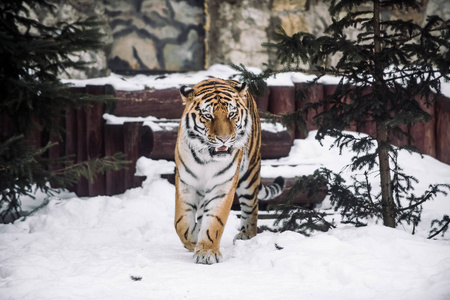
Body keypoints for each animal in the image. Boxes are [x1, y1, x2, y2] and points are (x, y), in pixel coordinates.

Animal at [173, 78, 284, 264]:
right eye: (208, 115)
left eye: (231, 114)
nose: (224, 139)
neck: (207, 158)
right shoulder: (186, 183)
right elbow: (181, 223)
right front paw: (194, 241)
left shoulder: (222, 186)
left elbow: (214, 221)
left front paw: (207, 251)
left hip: (249, 175)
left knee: (251, 207)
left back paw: (246, 234)